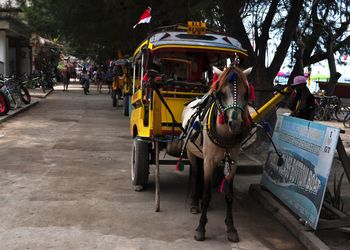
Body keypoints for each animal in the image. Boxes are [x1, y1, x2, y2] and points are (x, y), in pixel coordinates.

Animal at [180, 66, 252, 242]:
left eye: (246, 93)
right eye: (221, 93)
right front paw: (201, 228)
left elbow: (229, 196)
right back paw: (194, 203)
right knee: (195, 173)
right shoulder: (209, 161)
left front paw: (231, 227)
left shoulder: (233, 163)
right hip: (192, 153)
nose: (236, 124)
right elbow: (207, 195)